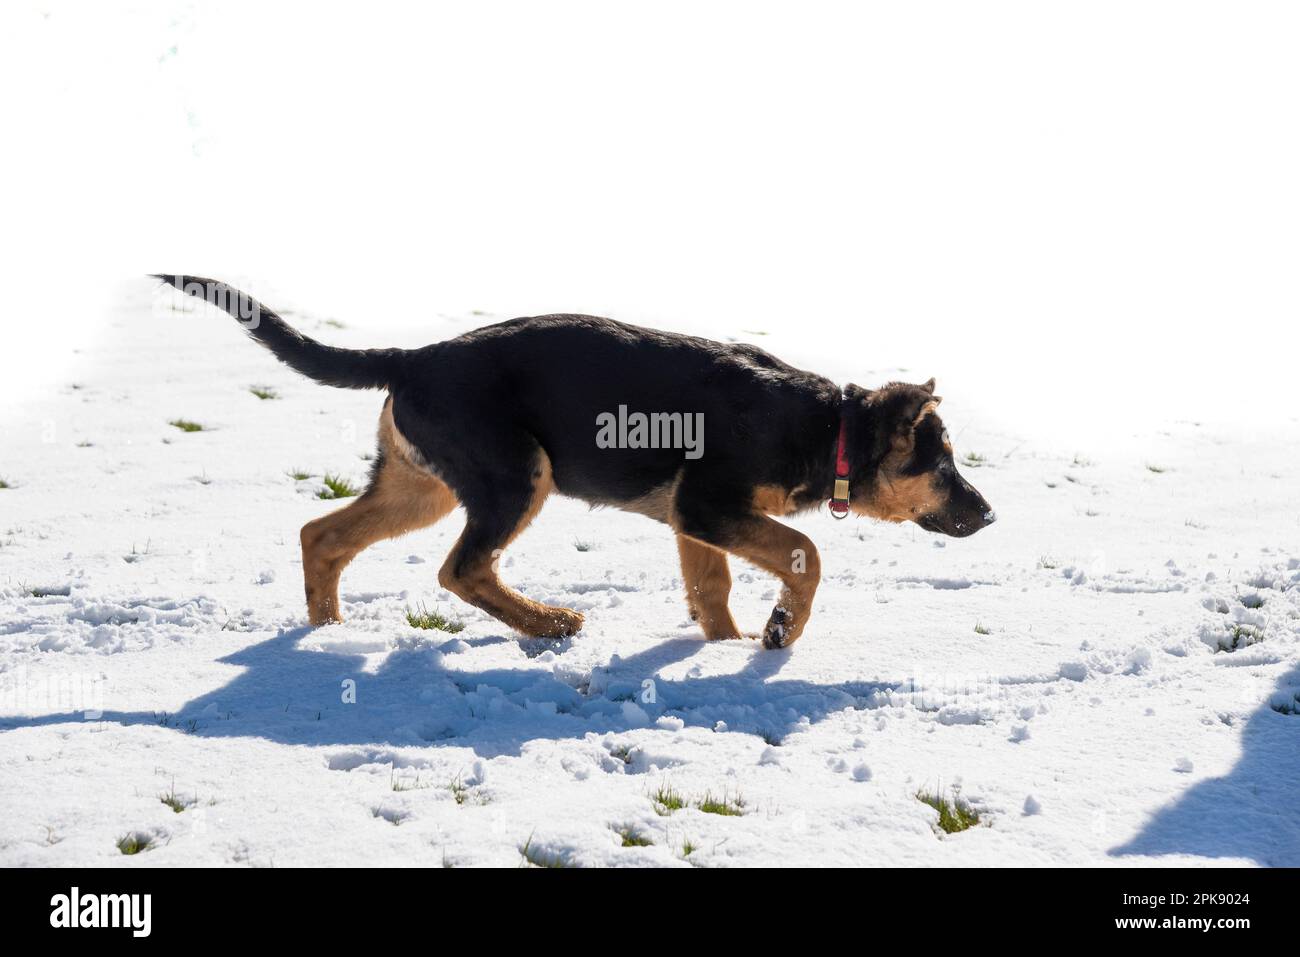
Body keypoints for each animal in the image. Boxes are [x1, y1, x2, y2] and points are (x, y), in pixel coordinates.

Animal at [157, 276, 998, 650]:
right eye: (944, 465)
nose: (989, 513)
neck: (832, 426)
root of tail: (412, 356)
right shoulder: (709, 504)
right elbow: (807, 550)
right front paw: (780, 629)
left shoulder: (693, 517)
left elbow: (712, 588)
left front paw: (723, 647)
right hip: (516, 473)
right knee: (460, 568)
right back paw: (550, 622)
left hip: (422, 485)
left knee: (322, 535)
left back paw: (329, 635)